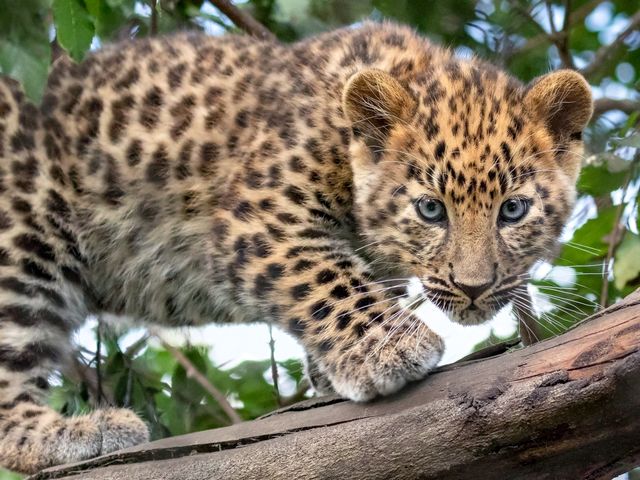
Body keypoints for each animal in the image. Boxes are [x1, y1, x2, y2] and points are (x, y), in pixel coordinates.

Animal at [0, 21, 592, 473]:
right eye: (430, 210)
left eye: (512, 210)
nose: (473, 289)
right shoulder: (259, 219)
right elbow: (328, 279)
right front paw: (389, 346)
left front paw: (331, 370)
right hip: (23, 234)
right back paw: (81, 433)